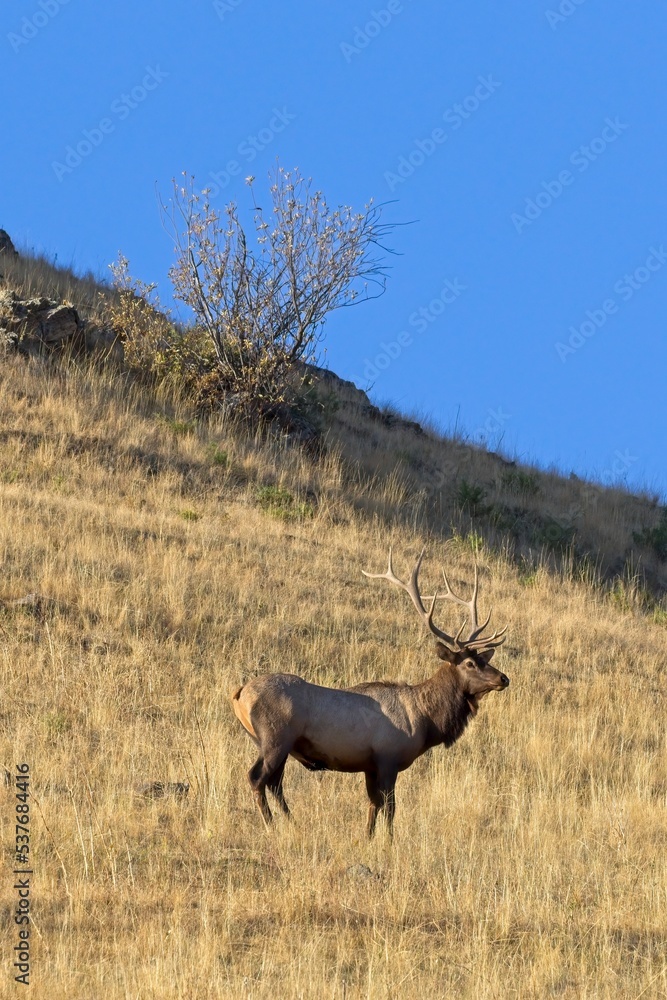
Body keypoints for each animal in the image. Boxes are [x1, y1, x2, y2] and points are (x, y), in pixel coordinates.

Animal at [231, 547, 509, 838]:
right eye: (469, 663)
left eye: (484, 659)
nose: (504, 678)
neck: (425, 721)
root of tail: (239, 693)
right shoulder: (388, 757)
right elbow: (390, 807)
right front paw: (389, 841)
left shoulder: (370, 766)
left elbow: (372, 805)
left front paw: (367, 837)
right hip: (275, 738)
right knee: (257, 777)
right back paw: (271, 824)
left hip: (273, 744)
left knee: (275, 783)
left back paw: (291, 823)